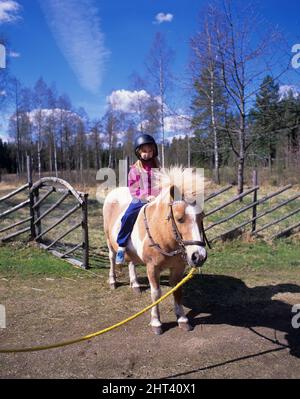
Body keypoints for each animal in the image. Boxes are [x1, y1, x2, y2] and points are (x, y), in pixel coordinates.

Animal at [102, 167, 207, 336]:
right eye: (179, 218)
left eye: (201, 217)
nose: (199, 256)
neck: (164, 235)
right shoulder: (152, 267)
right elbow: (156, 293)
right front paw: (156, 322)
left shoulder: (178, 267)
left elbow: (177, 290)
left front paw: (182, 319)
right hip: (109, 240)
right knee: (112, 258)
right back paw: (112, 281)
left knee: (131, 262)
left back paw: (135, 284)